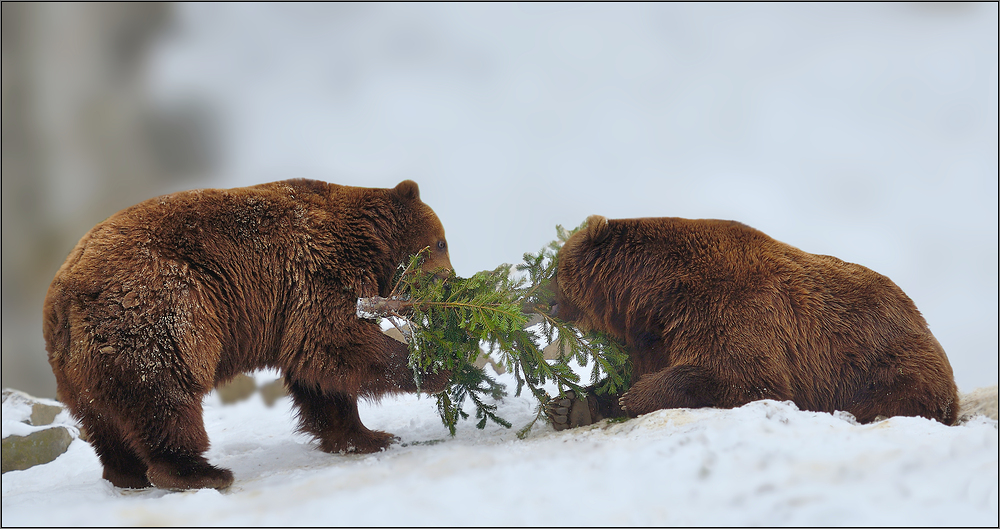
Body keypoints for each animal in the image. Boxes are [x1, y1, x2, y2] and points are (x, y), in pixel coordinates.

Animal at [43, 179, 454, 488]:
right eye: (441, 242)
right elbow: (336, 342)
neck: (369, 243)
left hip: (79, 368)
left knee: (103, 419)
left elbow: (319, 377)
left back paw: (126, 473)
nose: (450, 283)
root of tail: (61, 297)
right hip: (157, 309)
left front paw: (368, 436)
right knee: (165, 392)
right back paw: (200, 472)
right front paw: (440, 367)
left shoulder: (294, 304)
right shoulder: (319, 271)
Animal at [548, 214, 960, 428]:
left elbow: (746, 378)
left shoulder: (727, 308)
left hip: (883, 363)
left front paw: (637, 395)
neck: (656, 298)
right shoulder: (656, 338)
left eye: (554, 271)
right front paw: (570, 405)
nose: (542, 299)